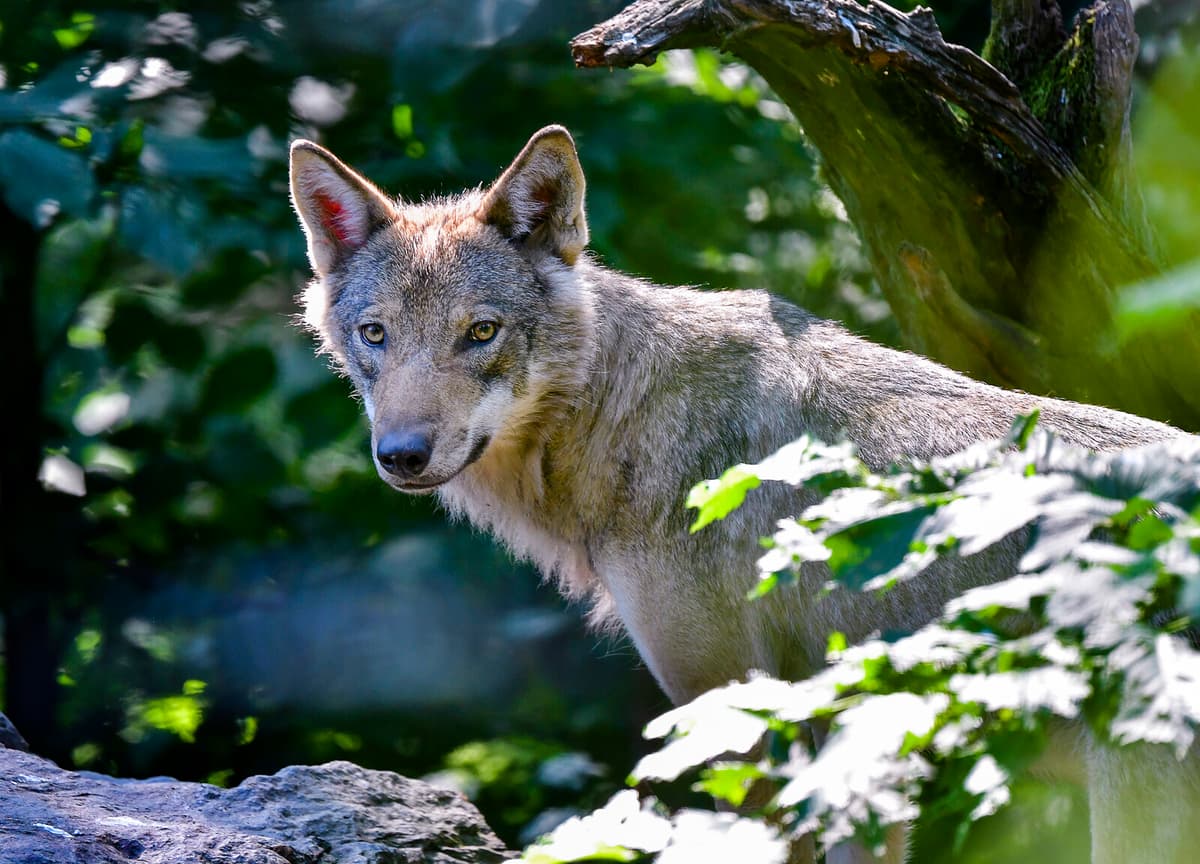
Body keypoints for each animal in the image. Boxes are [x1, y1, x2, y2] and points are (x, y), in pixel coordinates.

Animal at [289, 126, 1197, 863]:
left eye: (481, 333)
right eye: (375, 335)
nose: (402, 455)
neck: (618, 412)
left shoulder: (740, 731)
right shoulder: (854, 749)